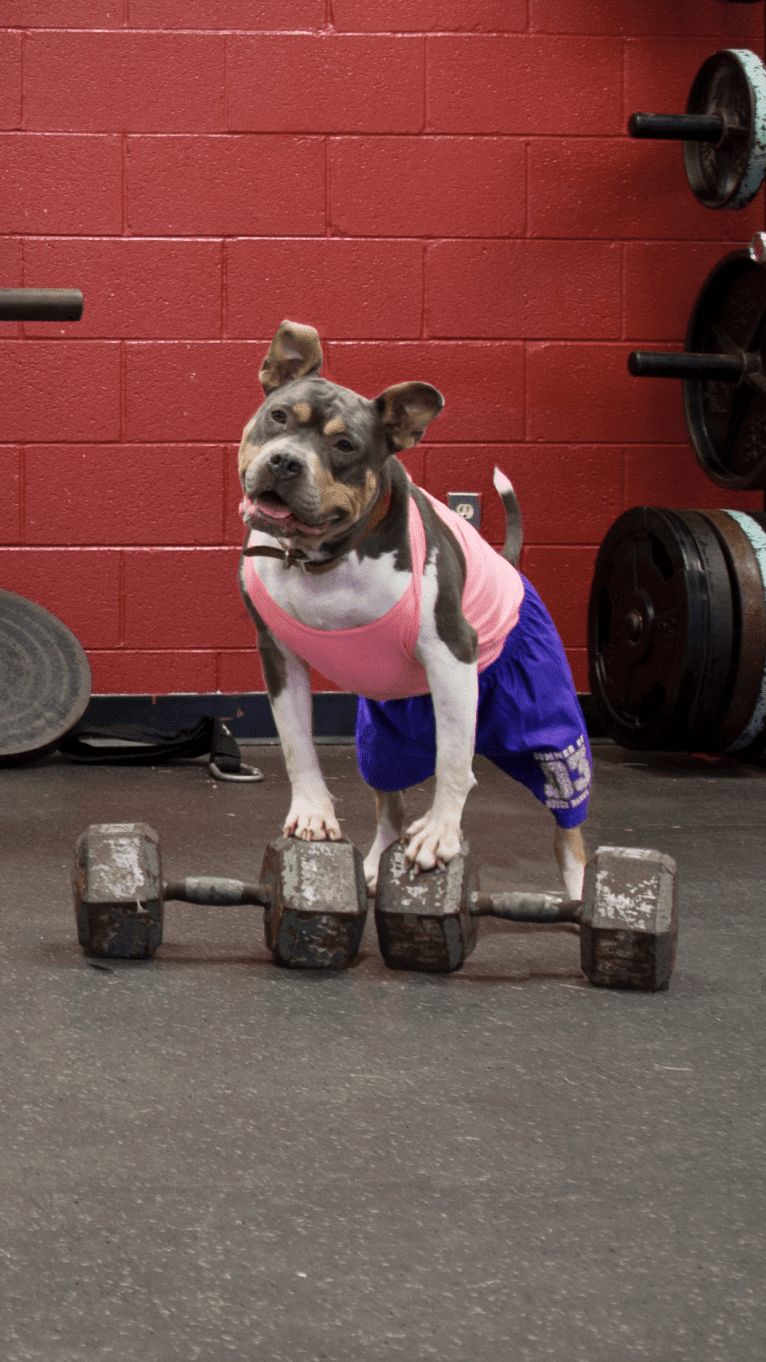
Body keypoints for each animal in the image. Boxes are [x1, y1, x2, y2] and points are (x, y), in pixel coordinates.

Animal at [238, 318, 591, 904]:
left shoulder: (451, 656)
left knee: (567, 823)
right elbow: (296, 745)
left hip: (547, 732)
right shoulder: (279, 657)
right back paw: (375, 865)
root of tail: (511, 566)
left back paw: (584, 888)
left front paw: (443, 832)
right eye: (279, 416)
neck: (322, 557)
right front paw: (312, 812)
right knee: (392, 805)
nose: (285, 461)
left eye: (345, 445)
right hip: (383, 739)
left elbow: (453, 762)